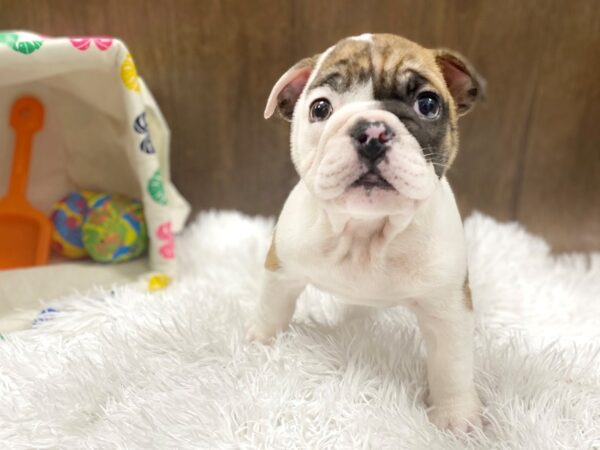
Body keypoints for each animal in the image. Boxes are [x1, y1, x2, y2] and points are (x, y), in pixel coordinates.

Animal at [246, 32, 486, 432]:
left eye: (428, 104)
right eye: (320, 108)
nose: (372, 131)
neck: (366, 230)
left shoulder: (448, 307)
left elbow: (452, 365)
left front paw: (455, 417)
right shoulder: (282, 268)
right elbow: (271, 309)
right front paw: (261, 342)